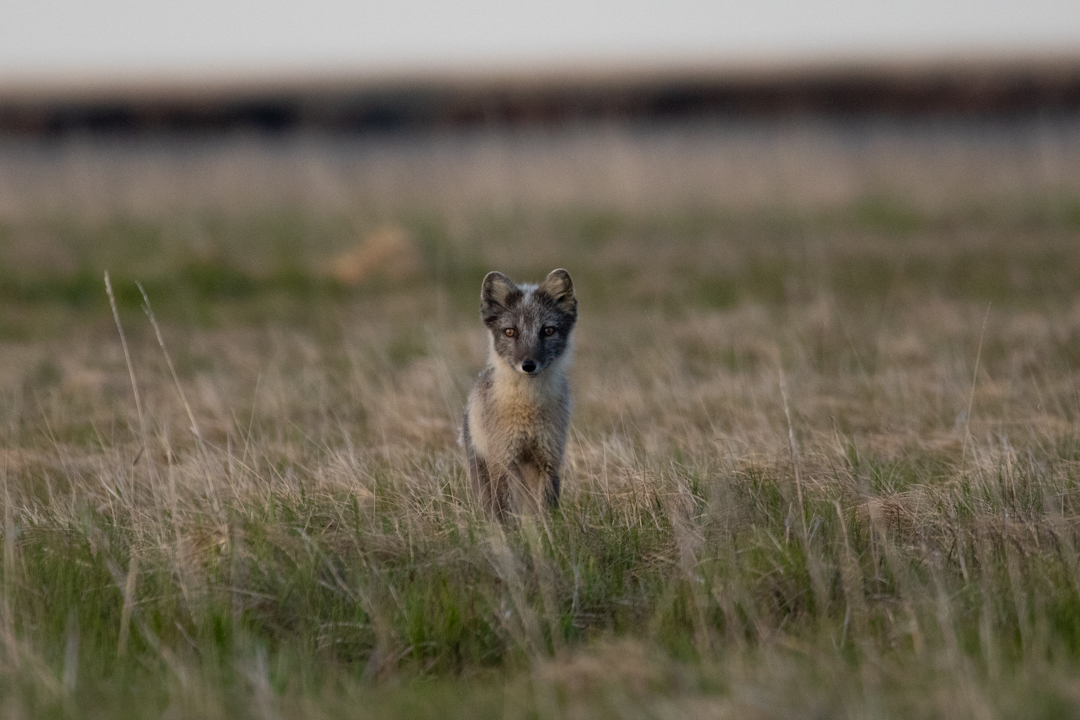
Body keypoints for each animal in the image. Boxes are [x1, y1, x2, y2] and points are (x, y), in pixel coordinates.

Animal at [462, 268, 577, 517]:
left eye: (548, 331)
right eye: (510, 332)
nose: (528, 365)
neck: (528, 407)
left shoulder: (549, 459)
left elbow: (547, 512)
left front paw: (549, 528)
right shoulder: (502, 462)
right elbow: (506, 515)